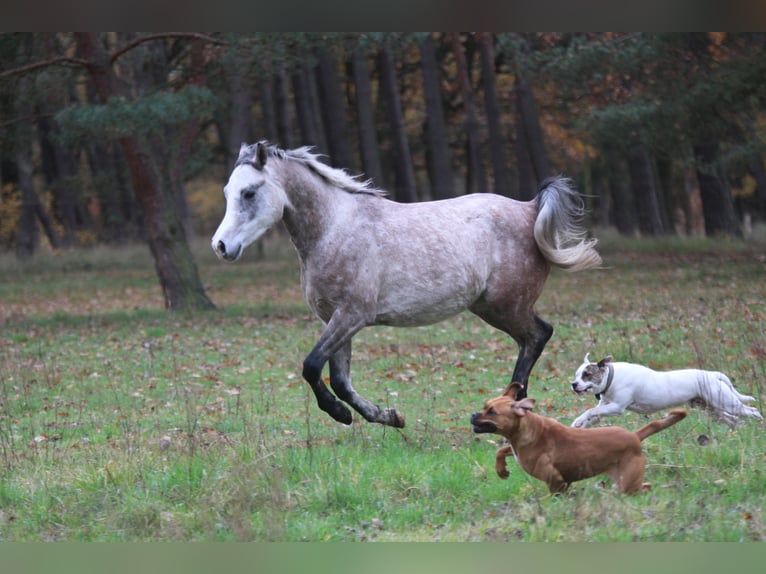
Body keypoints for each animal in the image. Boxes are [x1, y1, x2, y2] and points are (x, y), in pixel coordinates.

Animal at [213, 142, 604, 430]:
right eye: (228, 191)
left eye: (249, 193)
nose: (221, 246)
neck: (333, 228)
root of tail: (530, 209)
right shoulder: (334, 319)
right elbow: (339, 379)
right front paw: (387, 417)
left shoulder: (352, 315)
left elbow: (311, 366)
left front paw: (341, 414)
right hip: (491, 307)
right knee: (531, 339)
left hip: (507, 305)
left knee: (538, 335)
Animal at [472, 382, 688, 496]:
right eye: (484, 406)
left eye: (492, 412)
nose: (473, 415)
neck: (525, 429)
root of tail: (634, 436)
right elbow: (501, 450)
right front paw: (501, 470)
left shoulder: (556, 479)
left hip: (628, 484)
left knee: (642, 488)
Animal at [568, 354, 760, 430]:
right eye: (577, 374)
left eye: (587, 375)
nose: (573, 384)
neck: (611, 377)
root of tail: (712, 374)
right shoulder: (606, 407)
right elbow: (592, 415)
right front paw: (578, 425)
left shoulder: (616, 407)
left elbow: (591, 411)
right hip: (711, 407)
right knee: (732, 419)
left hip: (727, 403)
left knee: (753, 411)